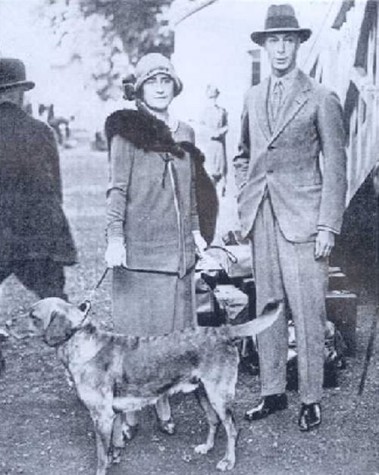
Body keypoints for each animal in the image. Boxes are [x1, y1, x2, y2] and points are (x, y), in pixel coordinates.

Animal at [14, 300, 282, 474]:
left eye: (33, 315)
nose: (6, 325)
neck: (81, 343)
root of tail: (223, 330)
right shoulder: (112, 415)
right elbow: (112, 446)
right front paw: (115, 457)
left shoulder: (101, 416)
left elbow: (100, 455)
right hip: (203, 392)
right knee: (214, 422)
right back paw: (206, 447)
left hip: (218, 395)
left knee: (232, 428)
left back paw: (228, 461)